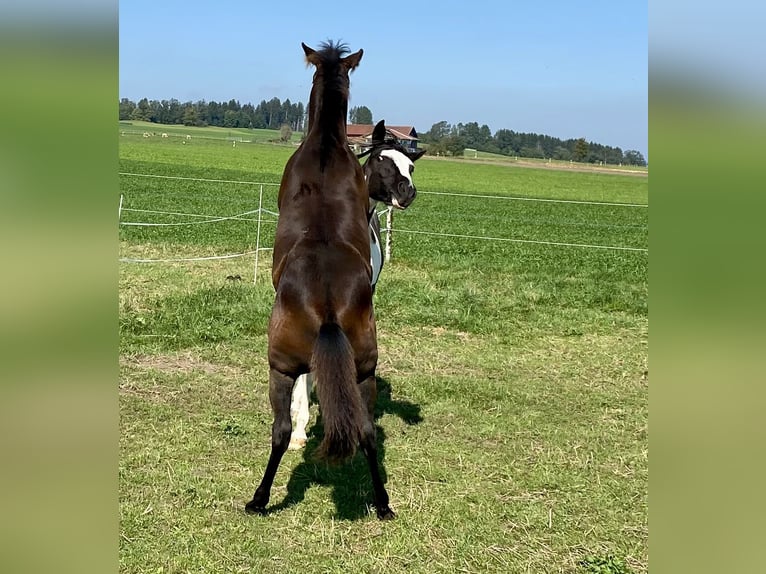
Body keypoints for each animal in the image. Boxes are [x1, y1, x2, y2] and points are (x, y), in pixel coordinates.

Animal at [246, 41, 396, 520]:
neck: (327, 145)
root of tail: (327, 307)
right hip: (364, 370)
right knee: (366, 431)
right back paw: (382, 502)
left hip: (279, 367)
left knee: (279, 430)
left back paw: (260, 498)